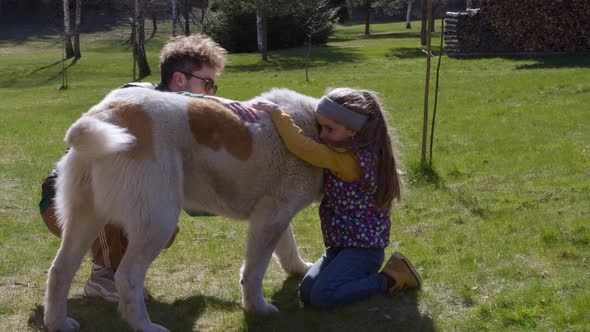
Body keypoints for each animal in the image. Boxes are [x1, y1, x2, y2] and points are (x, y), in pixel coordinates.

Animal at [44, 88, 324, 332]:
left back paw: (58, 323)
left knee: (60, 270)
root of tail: (105, 113)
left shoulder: (275, 213)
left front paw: (300, 269)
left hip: (84, 218)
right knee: (126, 276)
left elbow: (287, 248)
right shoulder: (271, 218)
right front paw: (258, 308)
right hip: (158, 221)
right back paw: (146, 326)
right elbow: (254, 271)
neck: (311, 132)